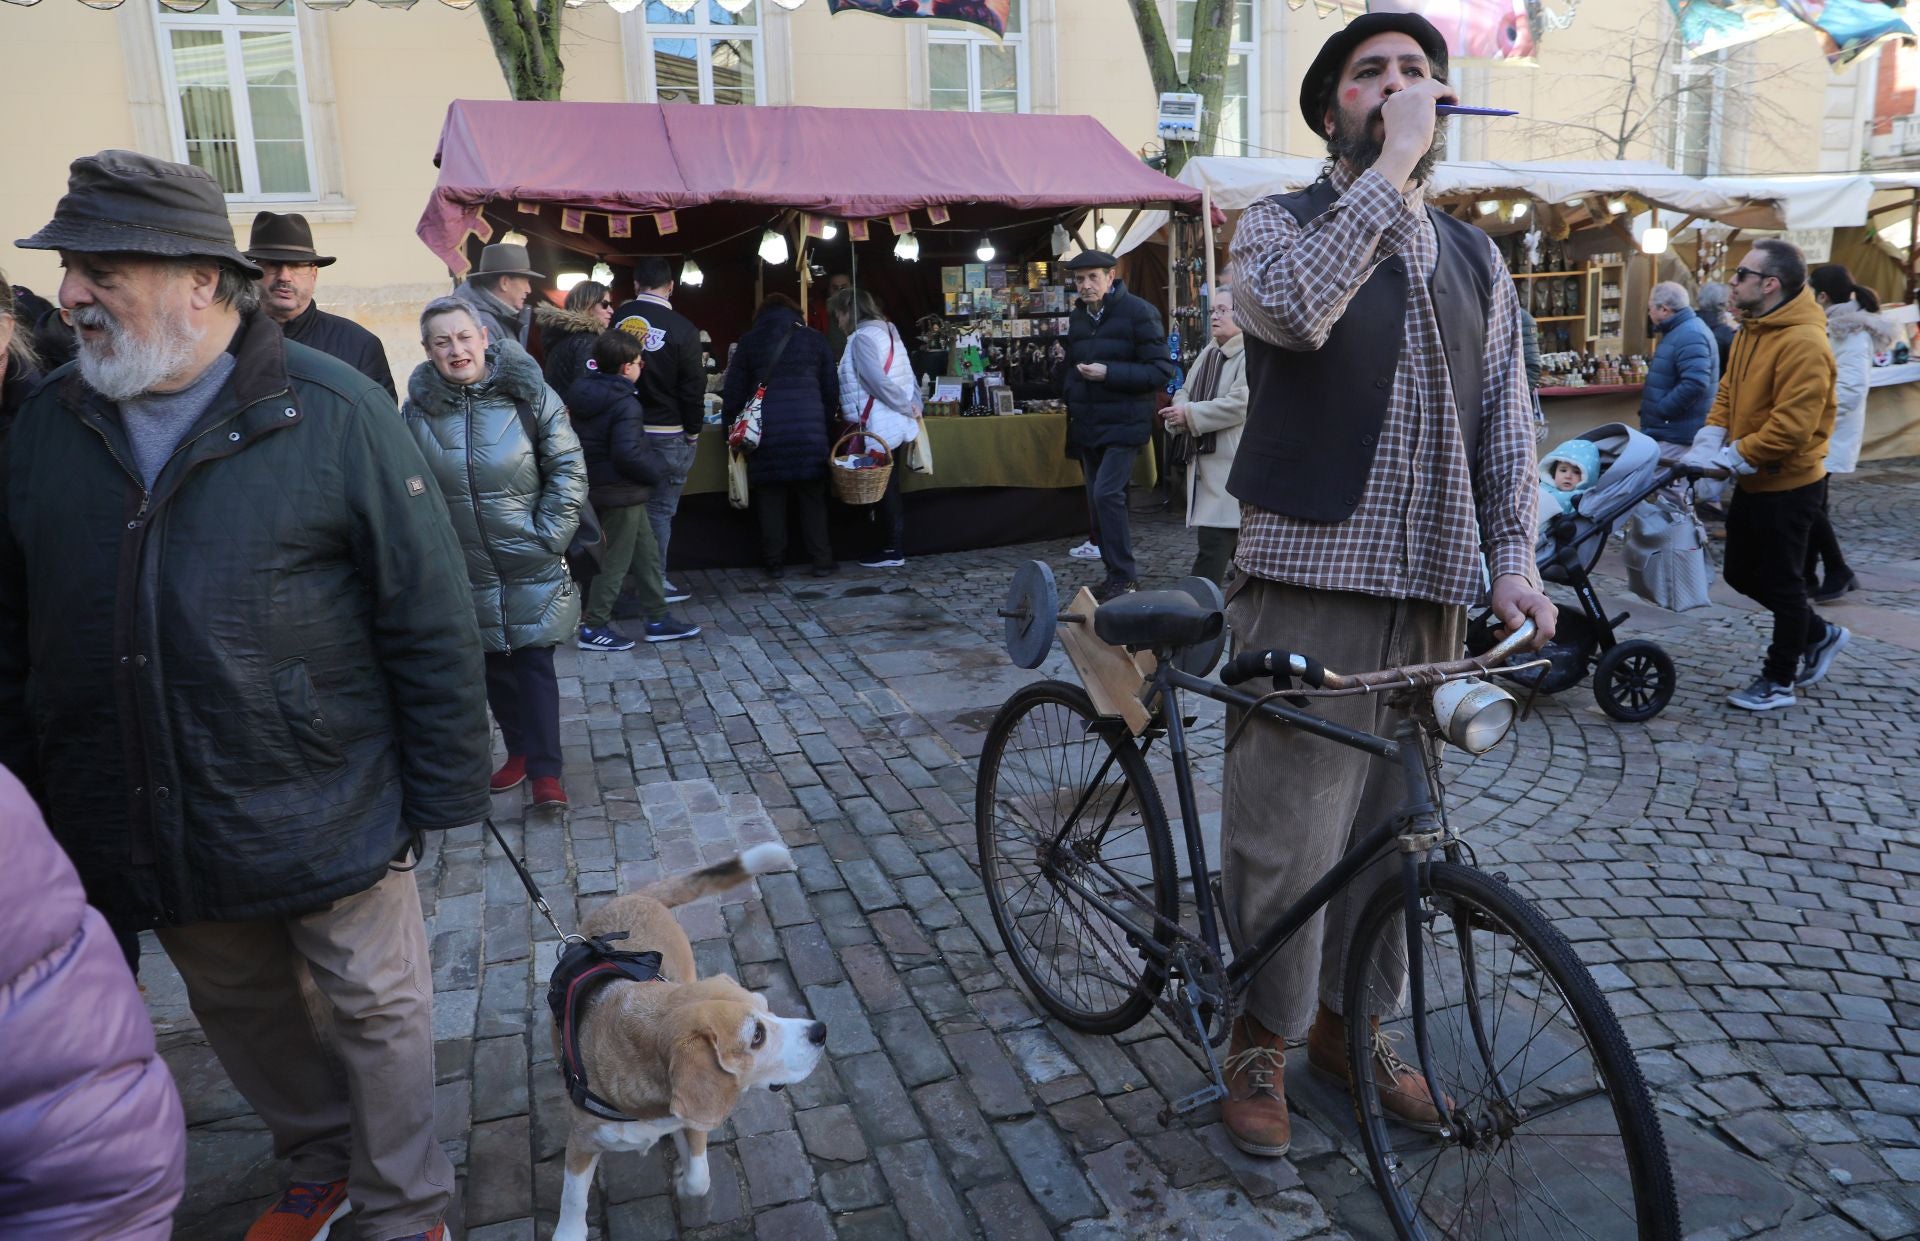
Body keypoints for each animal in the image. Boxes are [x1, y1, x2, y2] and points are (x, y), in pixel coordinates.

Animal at [552, 845, 829, 1241]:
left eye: (766, 1006)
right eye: (756, 1035)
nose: (820, 1031)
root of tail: (639, 897)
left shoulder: (693, 1118)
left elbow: (700, 1178)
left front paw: (684, 1180)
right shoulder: (581, 1141)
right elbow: (573, 1198)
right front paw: (569, 1232)